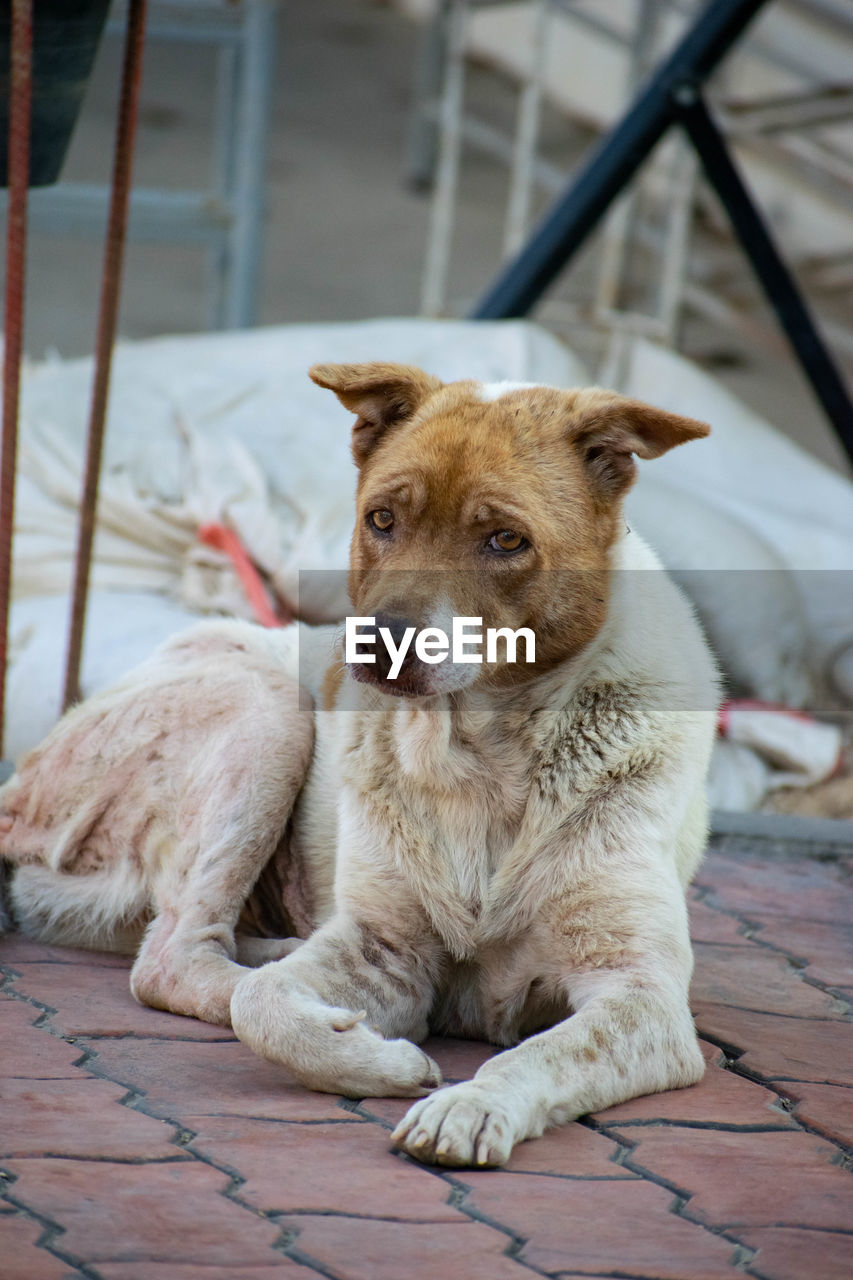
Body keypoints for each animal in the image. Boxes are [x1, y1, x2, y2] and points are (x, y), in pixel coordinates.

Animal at [0, 363, 717, 1172]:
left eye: (506, 539)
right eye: (381, 520)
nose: (380, 643)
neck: (482, 754)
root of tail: (16, 792)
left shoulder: (642, 994)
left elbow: (539, 1052)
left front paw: (469, 1107)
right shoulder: (386, 949)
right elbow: (262, 1006)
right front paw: (378, 1058)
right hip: (266, 710)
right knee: (174, 958)